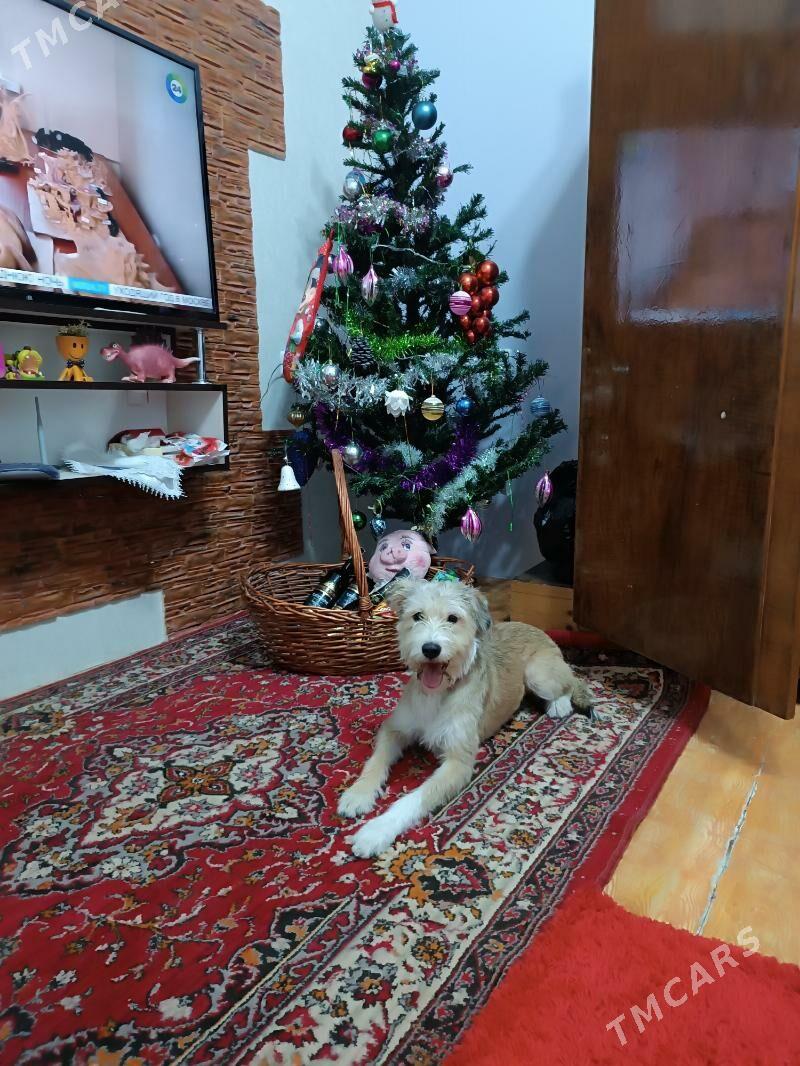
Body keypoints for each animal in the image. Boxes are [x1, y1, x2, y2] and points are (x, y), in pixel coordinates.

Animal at [338, 578, 594, 857]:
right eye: (417, 616)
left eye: (453, 618)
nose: (430, 649)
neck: (437, 694)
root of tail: (537, 628)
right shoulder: (395, 728)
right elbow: (375, 761)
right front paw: (358, 794)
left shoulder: (458, 763)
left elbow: (416, 797)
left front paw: (376, 831)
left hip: (538, 675)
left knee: (570, 682)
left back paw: (560, 705)